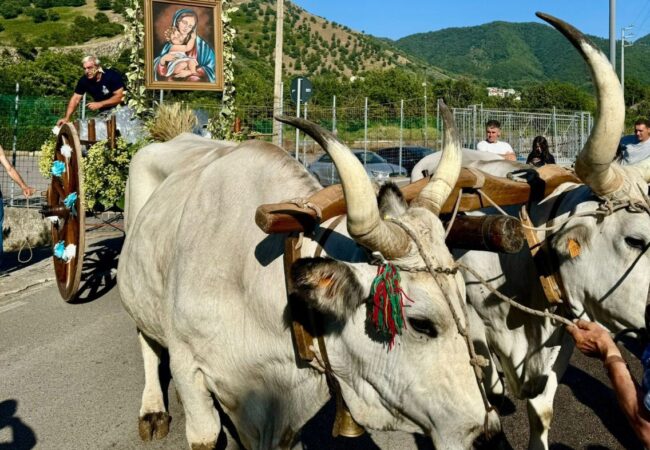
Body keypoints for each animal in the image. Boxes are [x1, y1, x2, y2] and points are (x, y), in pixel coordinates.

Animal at [117, 104, 501, 449]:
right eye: (421, 323)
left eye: (465, 301)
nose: (487, 433)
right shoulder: (189, 370)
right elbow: (205, 431)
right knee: (146, 340)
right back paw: (152, 410)